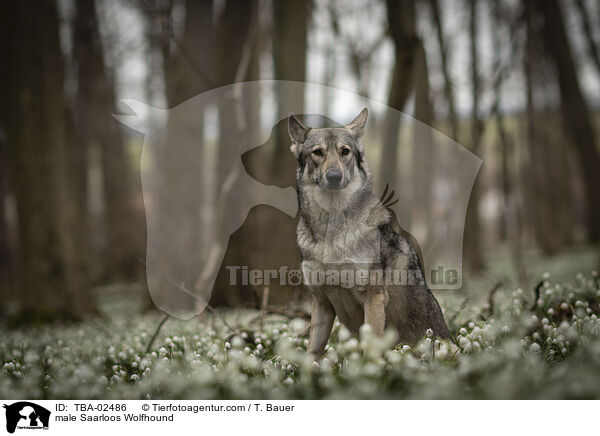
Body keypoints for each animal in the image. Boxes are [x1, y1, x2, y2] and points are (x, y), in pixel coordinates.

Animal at [288, 108, 450, 358]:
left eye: (345, 151)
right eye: (318, 153)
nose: (334, 176)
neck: (331, 229)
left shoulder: (373, 298)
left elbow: (368, 353)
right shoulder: (321, 303)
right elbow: (312, 352)